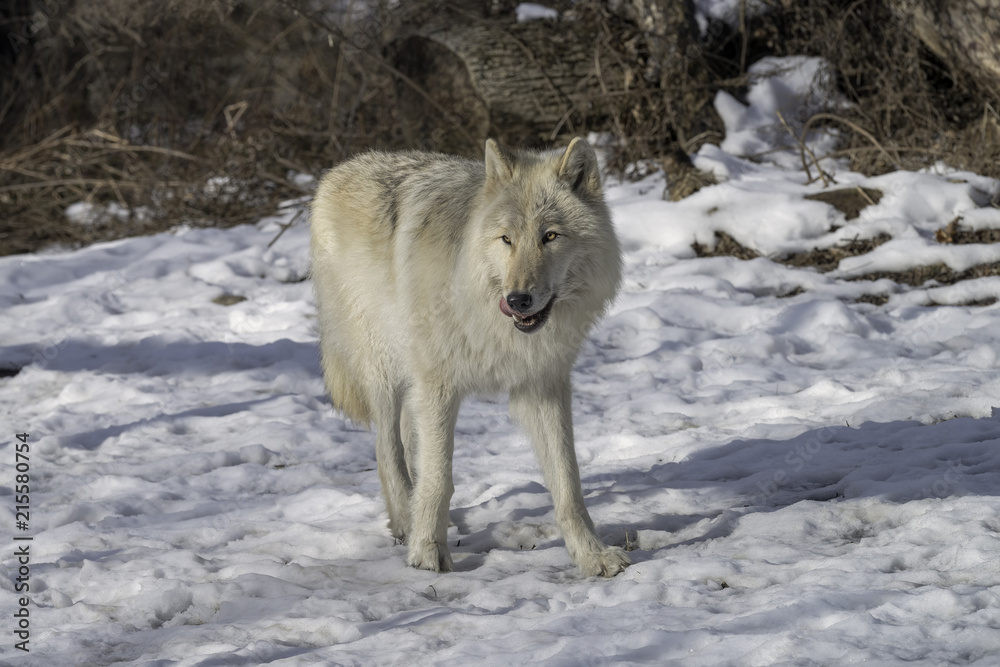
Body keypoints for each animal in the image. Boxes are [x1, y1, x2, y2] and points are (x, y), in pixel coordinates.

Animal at [310, 137, 630, 577]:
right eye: (506, 239)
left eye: (550, 236)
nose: (518, 299)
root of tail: (338, 170)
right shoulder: (439, 385)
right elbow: (439, 477)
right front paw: (427, 551)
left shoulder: (543, 385)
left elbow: (568, 483)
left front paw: (592, 555)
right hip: (384, 368)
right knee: (386, 448)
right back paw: (406, 521)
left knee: (407, 442)